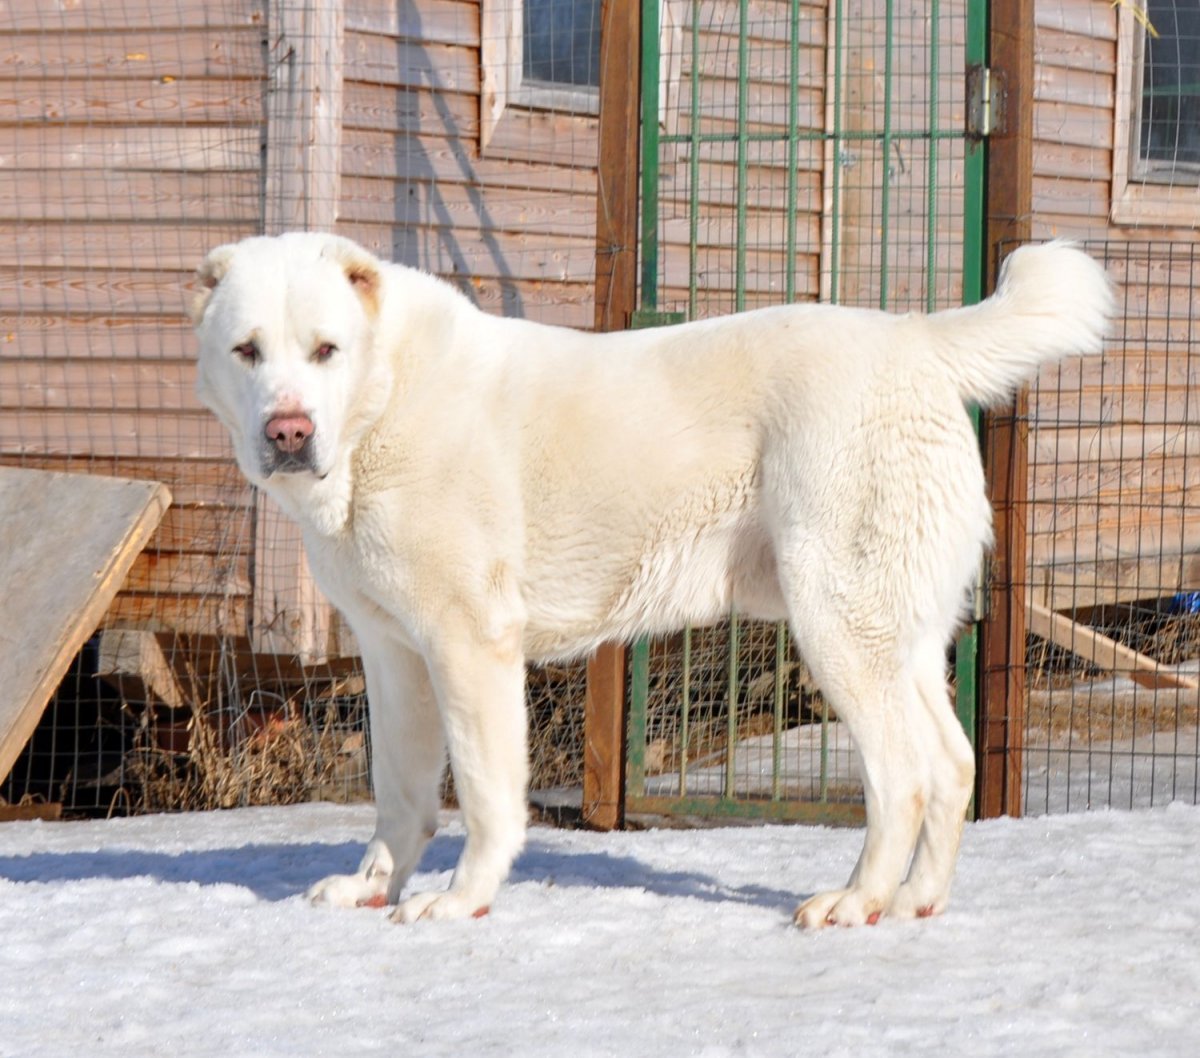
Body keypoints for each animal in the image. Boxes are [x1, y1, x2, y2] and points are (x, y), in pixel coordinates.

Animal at [189, 237, 1113, 921]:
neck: (384, 401)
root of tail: (917, 340)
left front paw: (461, 901)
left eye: (326, 350)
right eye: (247, 352)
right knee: (953, 764)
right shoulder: (394, 655)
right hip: (896, 630)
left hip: (837, 623)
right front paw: (372, 887)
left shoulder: (469, 644)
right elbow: (401, 791)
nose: (287, 430)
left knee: (904, 776)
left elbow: (485, 793)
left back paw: (857, 901)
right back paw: (916, 900)